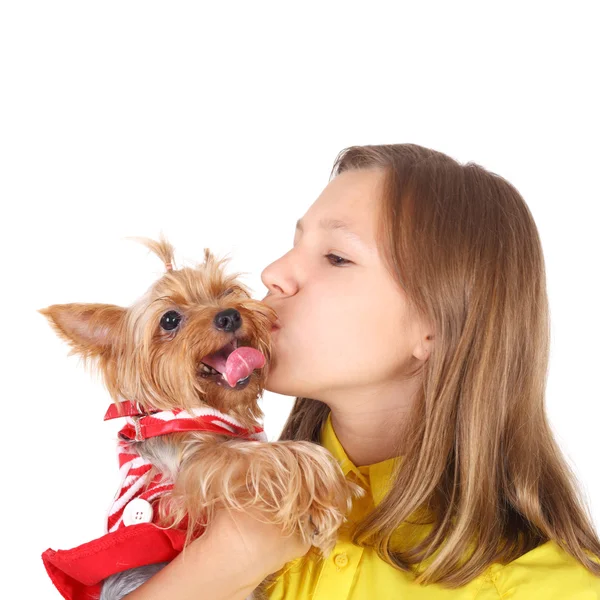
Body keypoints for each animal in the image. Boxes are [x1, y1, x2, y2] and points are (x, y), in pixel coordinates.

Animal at [39, 237, 366, 600]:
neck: (211, 408)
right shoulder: (187, 473)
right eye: (169, 320)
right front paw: (324, 493)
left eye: (227, 291)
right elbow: (260, 455)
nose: (230, 316)